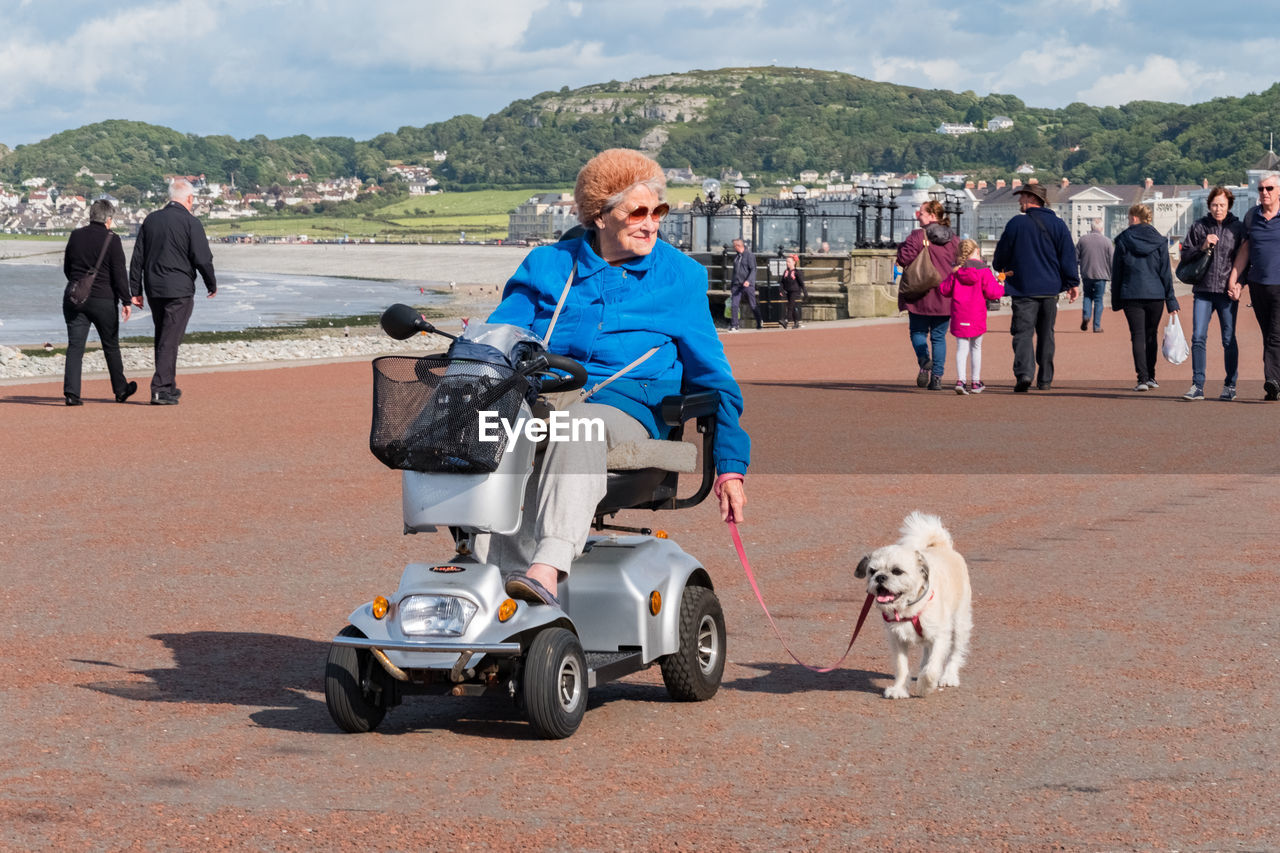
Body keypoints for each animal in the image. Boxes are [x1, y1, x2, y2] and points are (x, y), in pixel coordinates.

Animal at [855, 512, 972, 696]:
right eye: (872, 571)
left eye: (897, 571)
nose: (880, 577)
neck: (907, 608)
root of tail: (942, 546)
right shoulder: (897, 640)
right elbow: (902, 667)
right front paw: (899, 689)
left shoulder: (940, 636)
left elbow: (933, 666)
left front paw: (926, 686)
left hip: (960, 624)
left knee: (955, 653)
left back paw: (949, 677)